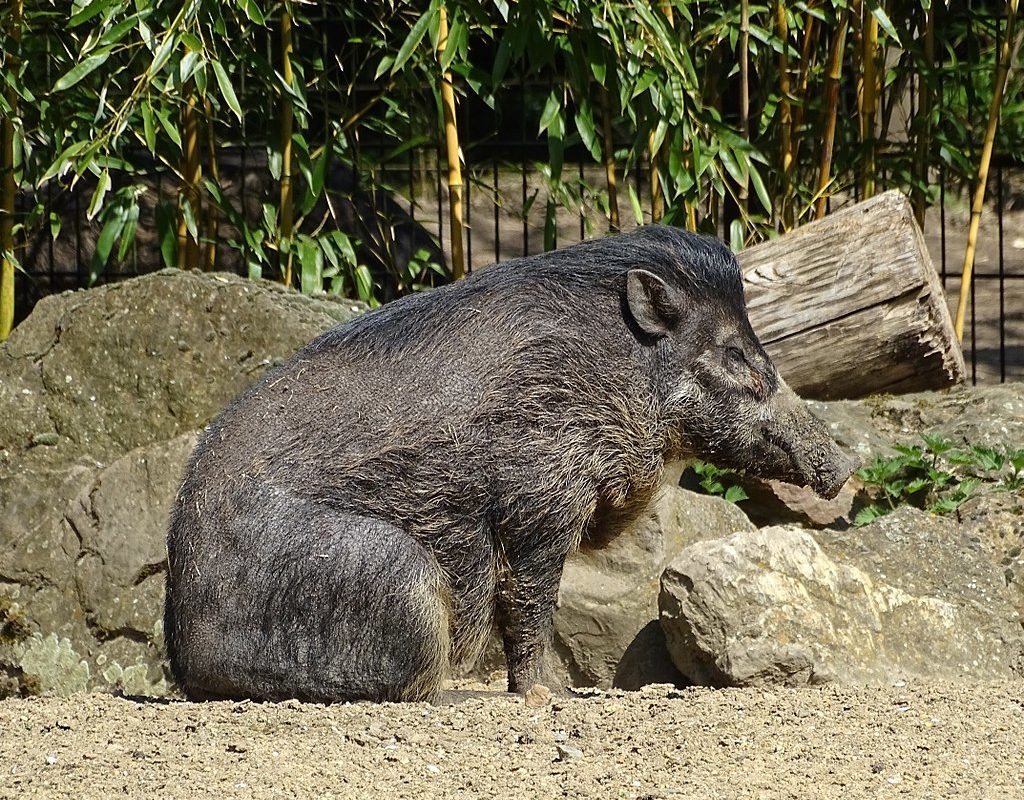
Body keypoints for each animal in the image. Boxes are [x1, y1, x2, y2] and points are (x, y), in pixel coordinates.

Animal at [165, 223, 856, 700]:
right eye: (735, 353)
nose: (845, 467)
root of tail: (182, 648)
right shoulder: (541, 497)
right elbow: (529, 602)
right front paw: (555, 696)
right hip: (394, 574)